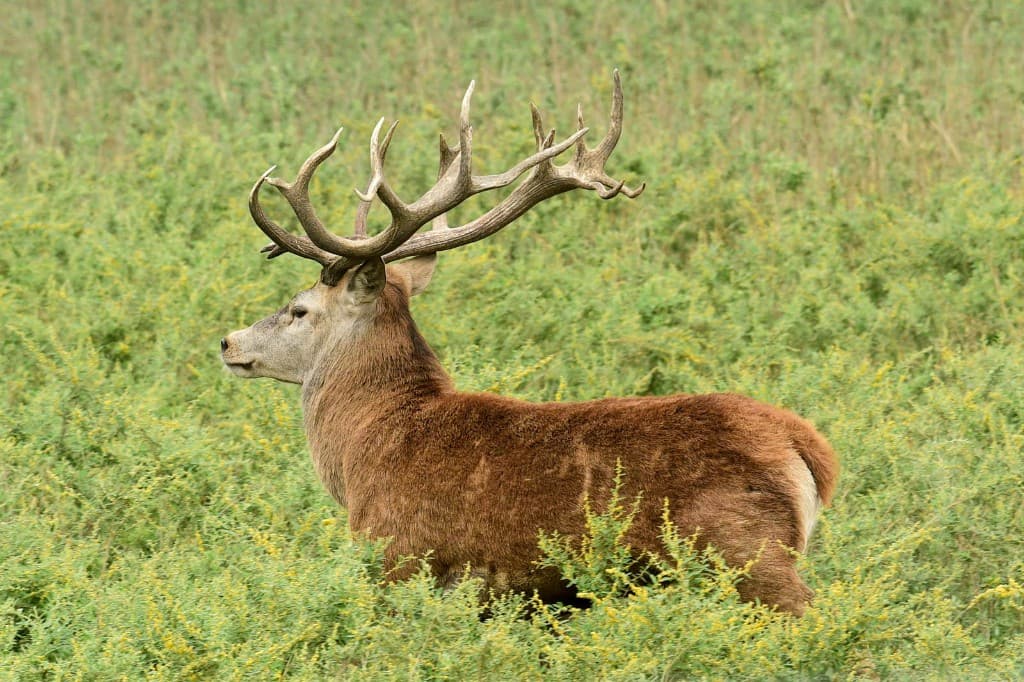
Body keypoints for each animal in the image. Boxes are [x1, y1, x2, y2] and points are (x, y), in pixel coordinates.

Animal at [220, 72, 839, 615]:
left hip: (745, 552)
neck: (364, 448)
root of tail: (810, 449)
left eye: (299, 309)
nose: (228, 341)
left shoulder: (399, 554)